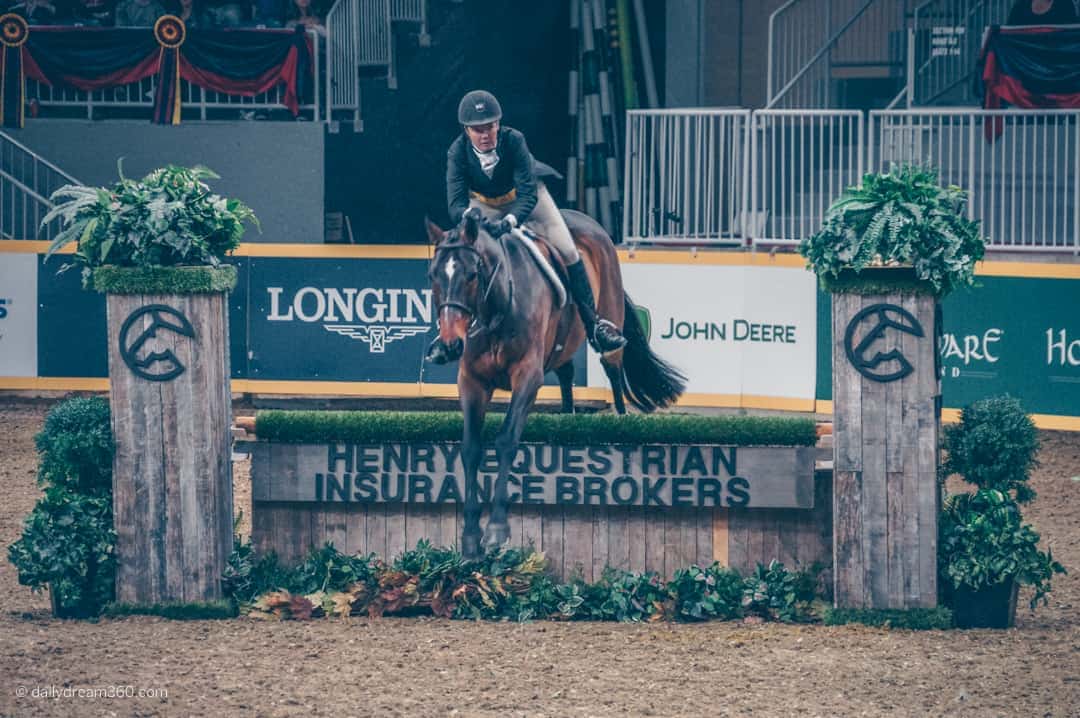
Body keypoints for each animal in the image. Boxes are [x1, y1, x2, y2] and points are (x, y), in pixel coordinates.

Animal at [427, 207, 686, 561]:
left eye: (471, 275)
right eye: (433, 277)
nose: (452, 344)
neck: (496, 306)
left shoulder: (527, 375)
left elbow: (506, 440)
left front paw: (496, 530)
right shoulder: (471, 380)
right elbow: (470, 448)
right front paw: (470, 538)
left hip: (609, 316)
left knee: (613, 368)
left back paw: (620, 418)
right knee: (566, 375)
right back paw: (566, 415)